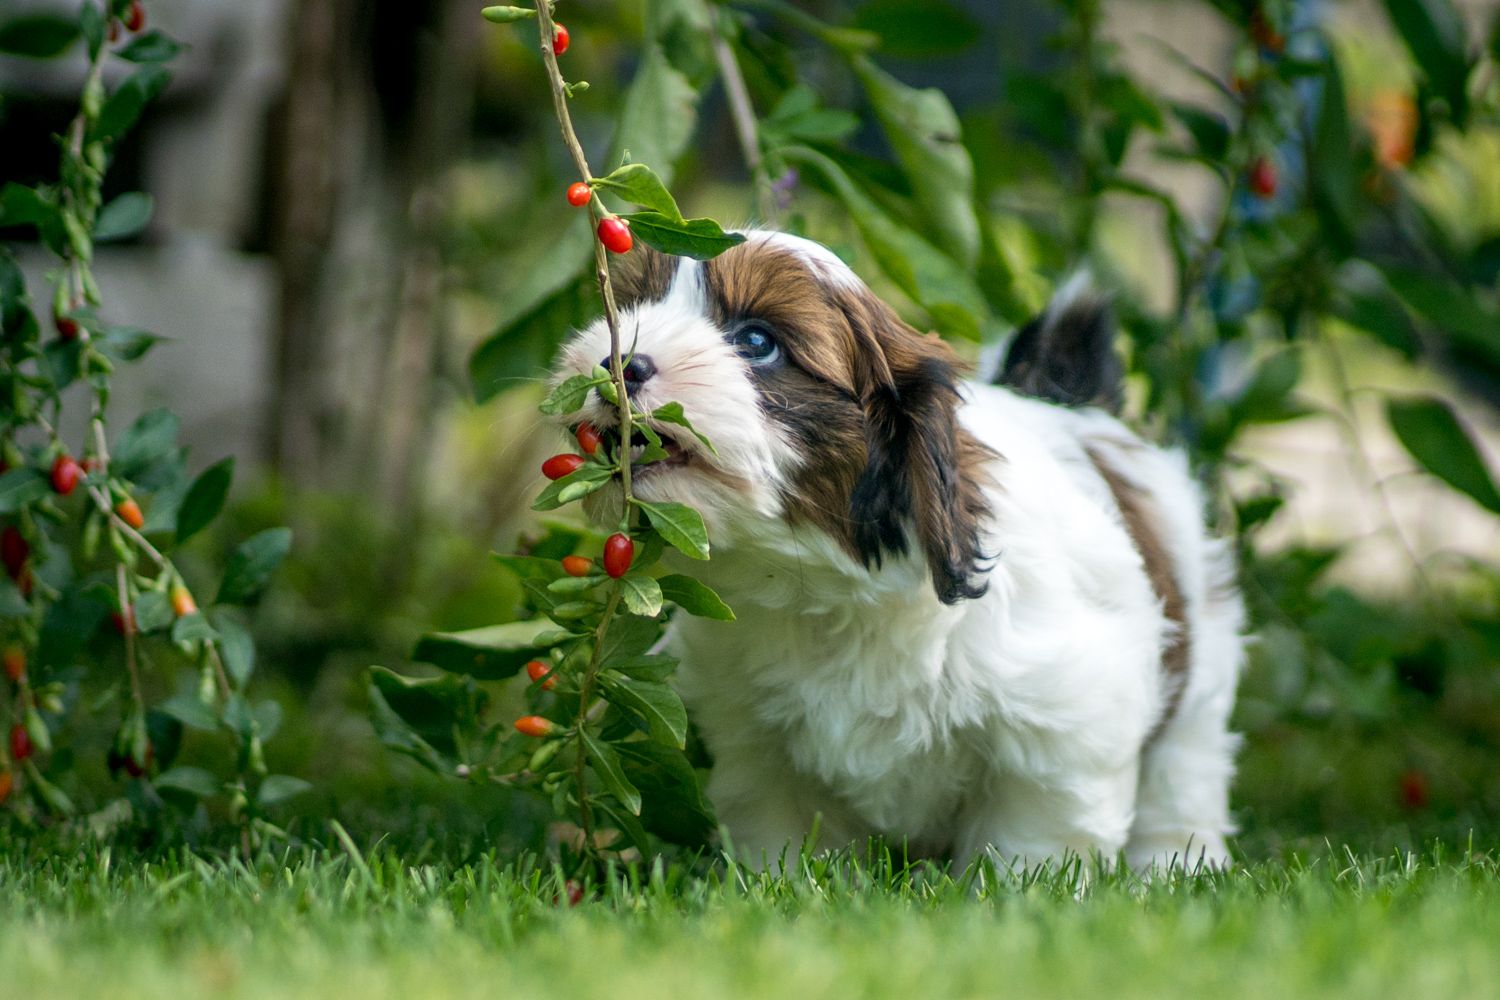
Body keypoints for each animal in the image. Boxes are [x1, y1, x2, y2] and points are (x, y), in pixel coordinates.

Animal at [554, 230, 1245, 873]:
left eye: (756, 342)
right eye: (632, 306)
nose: (619, 363)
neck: (817, 585)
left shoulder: (1059, 733)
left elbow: (1029, 846)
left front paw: (1017, 896)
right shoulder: (760, 747)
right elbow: (784, 838)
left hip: (1199, 681)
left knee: (1182, 779)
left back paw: (1171, 869)